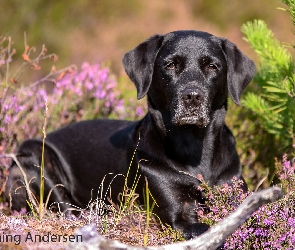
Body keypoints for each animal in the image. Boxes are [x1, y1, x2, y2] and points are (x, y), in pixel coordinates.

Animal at [4, 30, 256, 239]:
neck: (192, 147)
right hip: (35, 157)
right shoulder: (179, 215)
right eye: (170, 65)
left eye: (212, 66)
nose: (192, 96)